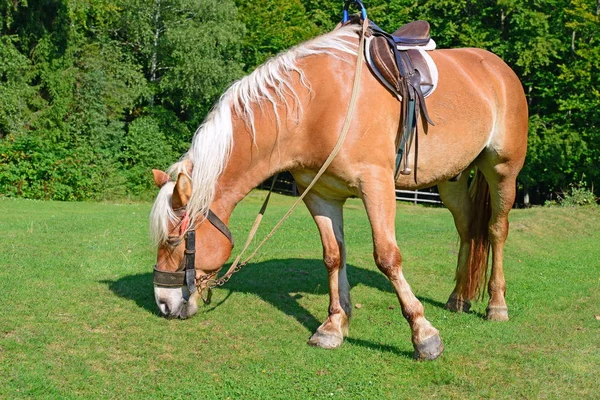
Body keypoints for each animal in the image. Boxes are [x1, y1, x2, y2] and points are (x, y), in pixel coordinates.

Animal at [148, 20, 528, 360]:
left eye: (175, 241)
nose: (163, 304)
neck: (315, 106)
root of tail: (498, 68)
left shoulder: (376, 185)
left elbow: (387, 257)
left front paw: (424, 335)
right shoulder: (320, 194)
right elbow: (333, 257)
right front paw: (334, 324)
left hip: (502, 172)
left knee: (496, 230)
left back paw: (496, 305)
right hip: (451, 179)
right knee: (467, 229)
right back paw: (458, 298)